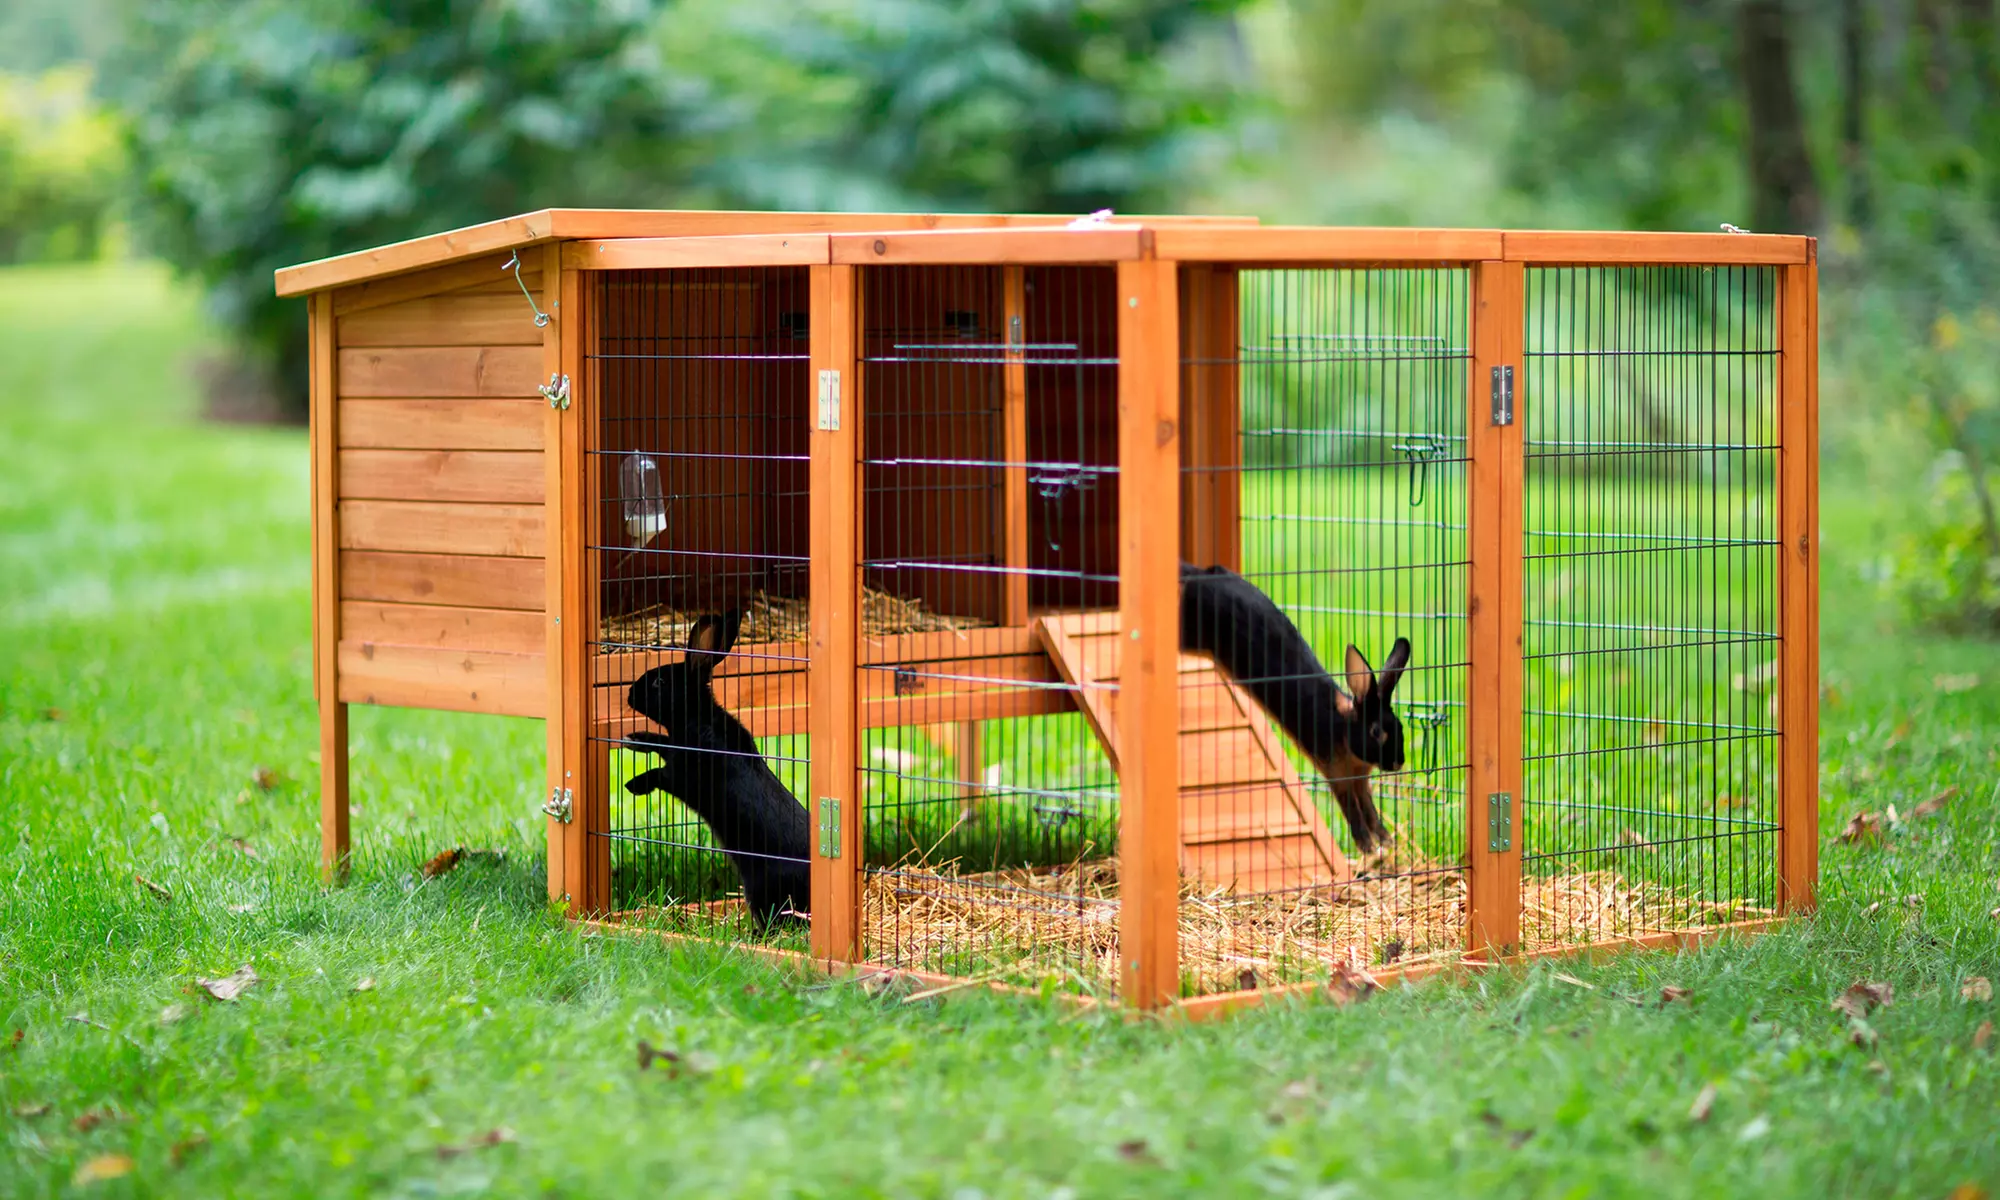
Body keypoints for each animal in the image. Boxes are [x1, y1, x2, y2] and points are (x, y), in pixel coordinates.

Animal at [622, 611, 811, 931]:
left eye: (659, 681)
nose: (629, 695)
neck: (696, 715)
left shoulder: (684, 773)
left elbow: (660, 774)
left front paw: (634, 784)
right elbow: (660, 742)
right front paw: (634, 739)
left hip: (761, 889)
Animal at [1179, 563, 1412, 854]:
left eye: (1400, 727)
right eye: (1376, 731)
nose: (1398, 762)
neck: (1343, 729)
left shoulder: (1360, 780)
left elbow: (1370, 811)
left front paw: (1387, 842)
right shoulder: (1337, 776)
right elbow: (1354, 814)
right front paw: (1369, 850)